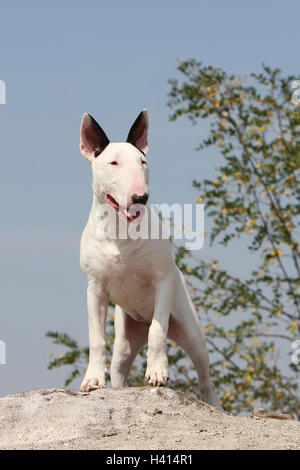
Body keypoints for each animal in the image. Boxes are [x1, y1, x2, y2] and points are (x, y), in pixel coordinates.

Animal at [78, 109, 221, 408]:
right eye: (113, 162)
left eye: (143, 161)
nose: (140, 197)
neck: (120, 234)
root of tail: (140, 322)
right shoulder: (95, 289)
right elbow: (96, 338)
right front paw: (92, 380)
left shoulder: (162, 280)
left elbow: (158, 331)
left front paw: (157, 371)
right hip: (124, 339)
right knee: (119, 369)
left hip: (190, 329)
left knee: (204, 375)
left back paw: (214, 403)